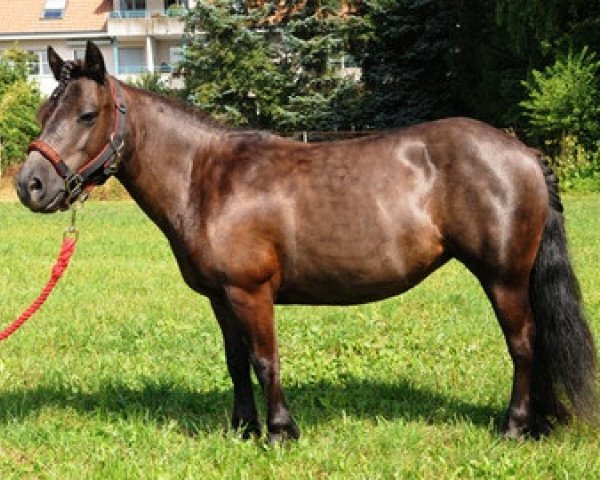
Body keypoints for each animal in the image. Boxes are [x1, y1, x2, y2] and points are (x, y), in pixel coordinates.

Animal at [16, 42, 596, 442]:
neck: (207, 178)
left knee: (524, 344)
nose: (30, 185)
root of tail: (523, 153)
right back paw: (540, 423)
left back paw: (515, 427)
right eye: (45, 114)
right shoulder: (221, 298)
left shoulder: (251, 293)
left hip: (503, 278)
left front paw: (279, 431)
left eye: (87, 114)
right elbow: (236, 361)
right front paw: (242, 429)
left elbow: (265, 359)